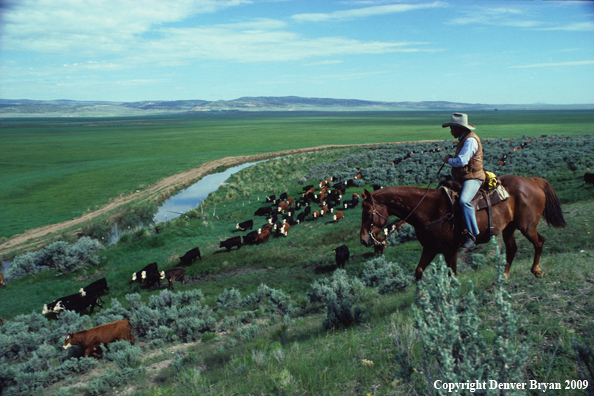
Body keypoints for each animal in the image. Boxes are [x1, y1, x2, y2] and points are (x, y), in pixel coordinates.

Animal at [358, 175, 568, 280]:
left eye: (367, 213)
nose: (364, 239)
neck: (429, 210)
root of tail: (533, 181)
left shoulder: (450, 250)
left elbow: (452, 274)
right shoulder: (430, 249)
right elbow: (418, 271)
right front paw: (420, 300)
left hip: (527, 226)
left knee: (539, 242)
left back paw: (537, 271)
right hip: (509, 228)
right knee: (511, 249)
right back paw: (503, 277)